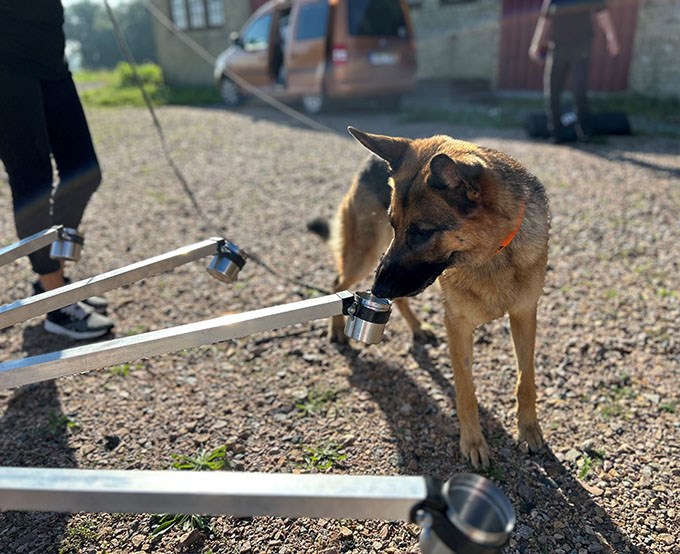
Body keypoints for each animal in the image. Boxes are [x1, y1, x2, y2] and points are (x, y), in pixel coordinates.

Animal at [310, 126, 548, 466]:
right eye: (394, 223)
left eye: (422, 232)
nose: (379, 289)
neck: (491, 255)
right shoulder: (458, 326)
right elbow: (465, 391)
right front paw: (473, 442)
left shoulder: (525, 314)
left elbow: (525, 378)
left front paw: (528, 429)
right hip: (366, 256)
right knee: (336, 281)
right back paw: (338, 331)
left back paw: (417, 328)